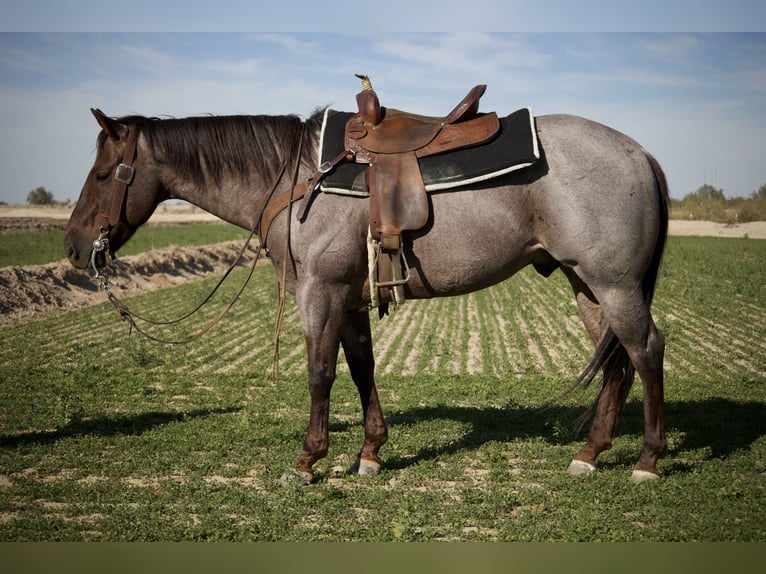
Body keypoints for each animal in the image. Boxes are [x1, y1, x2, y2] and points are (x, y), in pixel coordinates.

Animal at [65, 101, 669, 485]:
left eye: (102, 174)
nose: (72, 248)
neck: (298, 178)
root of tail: (639, 152)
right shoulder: (349, 298)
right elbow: (361, 369)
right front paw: (371, 452)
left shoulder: (320, 292)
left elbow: (320, 373)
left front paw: (308, 460)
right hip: (587, 285)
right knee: (616, 362)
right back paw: (590, 453)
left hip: (614, 285)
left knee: (645, 352)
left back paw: (647, 461)